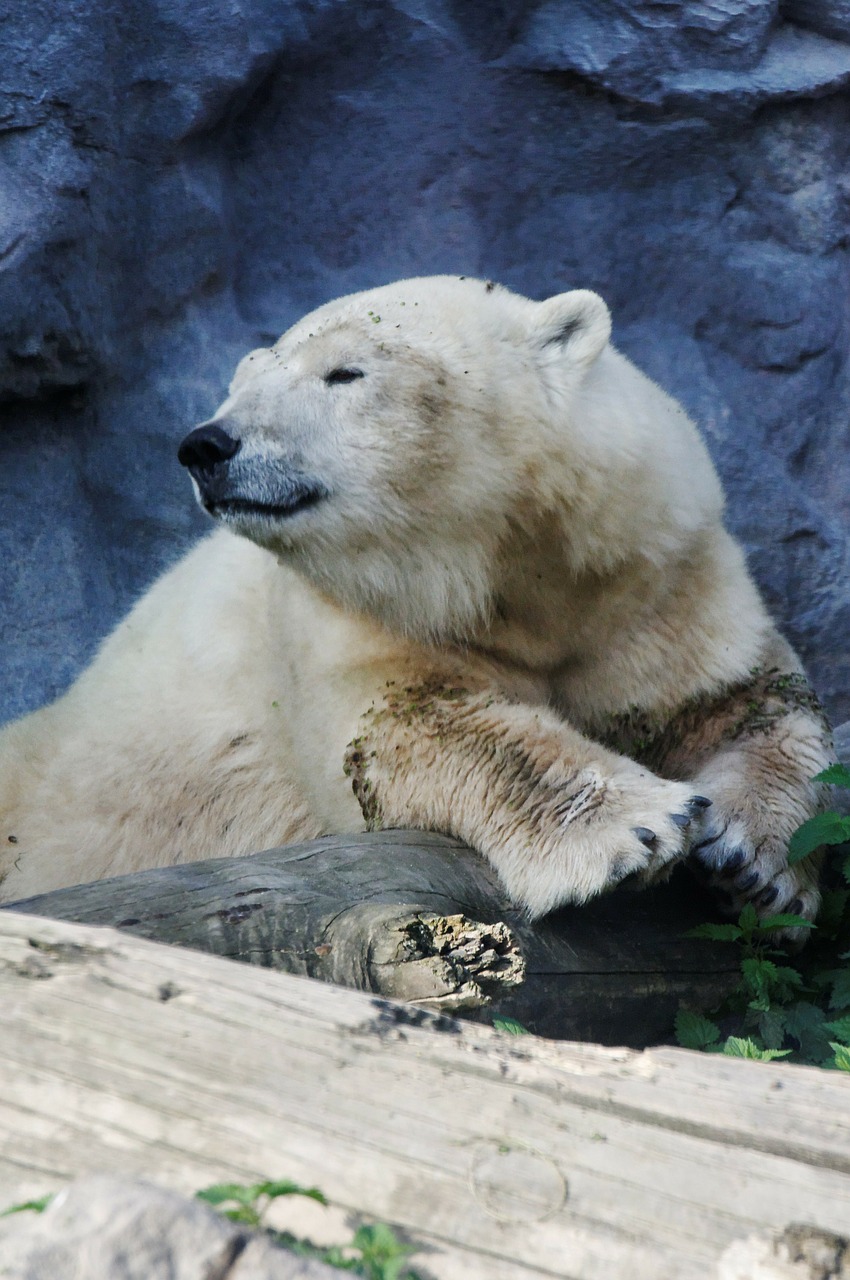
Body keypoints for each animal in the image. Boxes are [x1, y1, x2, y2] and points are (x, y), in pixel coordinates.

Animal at [0, 277, 834, 931]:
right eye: (244, 385)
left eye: (344, 373)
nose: (208, 444)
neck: (518, 575)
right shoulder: (353, 616)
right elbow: (419, 728)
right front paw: (637, 828)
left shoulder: (653, 578)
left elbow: (753, 699)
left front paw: (756, 861)